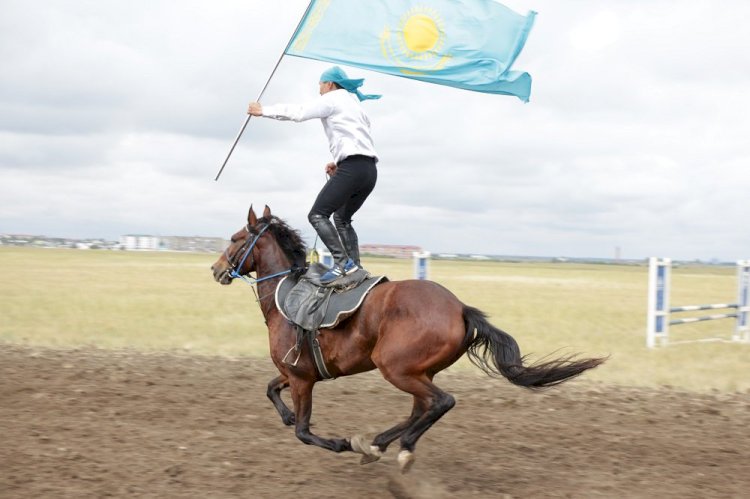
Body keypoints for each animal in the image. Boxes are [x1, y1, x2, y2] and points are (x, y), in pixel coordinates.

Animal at [210, 206, 604, 472]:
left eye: (235, 239)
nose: (216, 269)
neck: (285, 294)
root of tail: (460, 308)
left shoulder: (302, 379)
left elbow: (304, 432)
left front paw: (340, 442)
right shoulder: (294, 374)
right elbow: (270, 390)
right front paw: (290, 416)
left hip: (396, 368)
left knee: (441, 402)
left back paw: (397, 446)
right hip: (418, 371)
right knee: (421, 407)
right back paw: (380, 444)